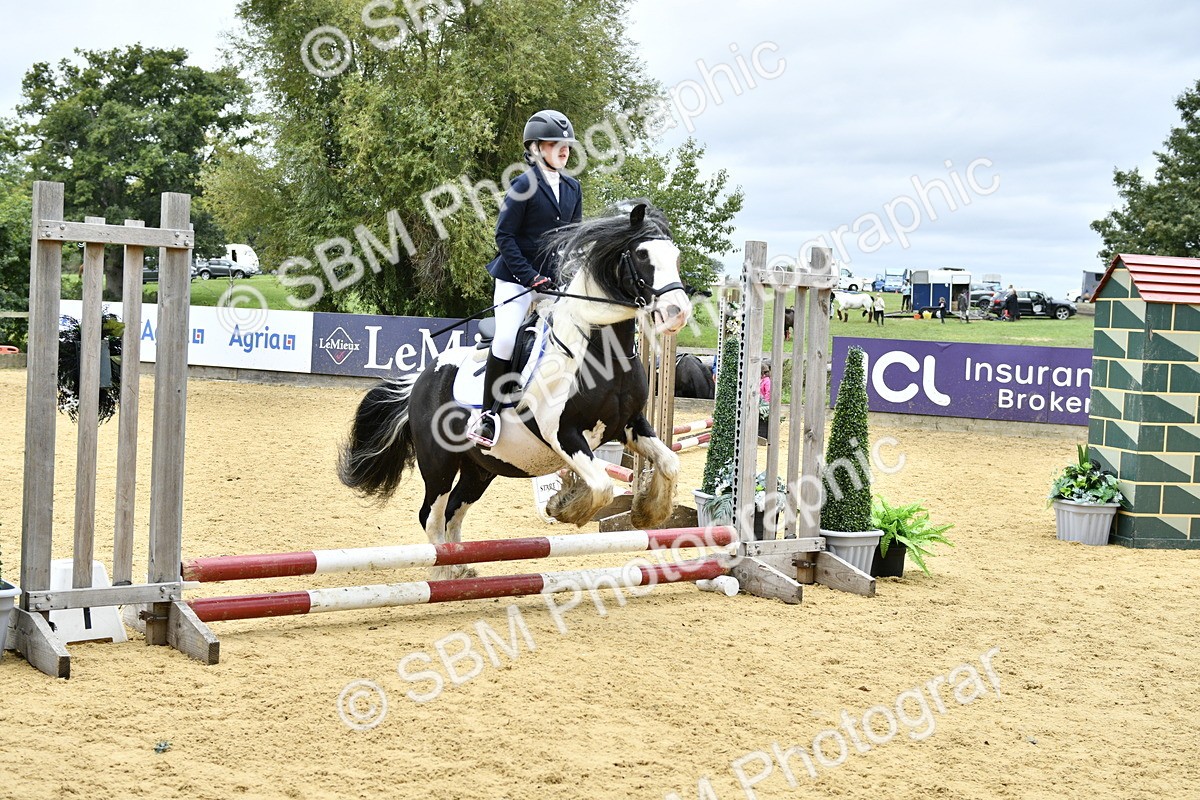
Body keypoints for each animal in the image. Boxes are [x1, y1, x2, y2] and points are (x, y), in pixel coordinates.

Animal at [338, 202, 693, 579]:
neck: (602, 351)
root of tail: (421, 380)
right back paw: (442, 574)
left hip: (480, 467)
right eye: (641, 255)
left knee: (453, 510)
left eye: (675, 257)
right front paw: (564, 506)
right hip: (439, 463)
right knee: (431, 516)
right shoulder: (562, 433)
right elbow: (602, 487)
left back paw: (460, 568)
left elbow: (669, 462)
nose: (678, 312)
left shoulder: (630, 424)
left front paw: (647, 512)